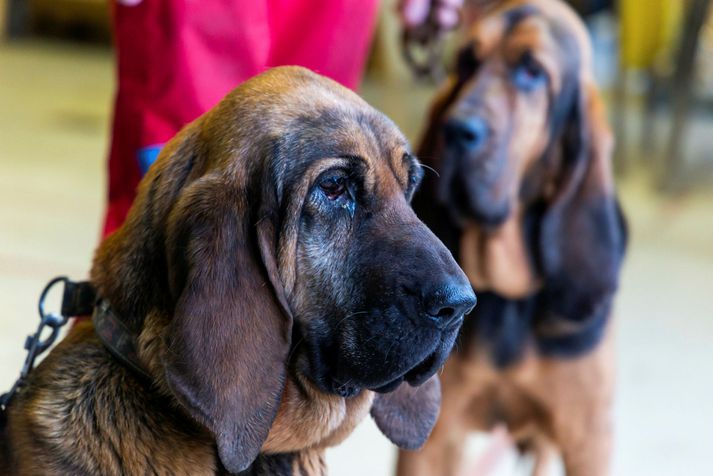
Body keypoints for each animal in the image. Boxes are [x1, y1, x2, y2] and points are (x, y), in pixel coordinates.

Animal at [400, 0, 628, 474]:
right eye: (466, 62)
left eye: (531, 71)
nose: (455, 130)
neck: (509, 294)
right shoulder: (433, 438)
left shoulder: (588, 439)